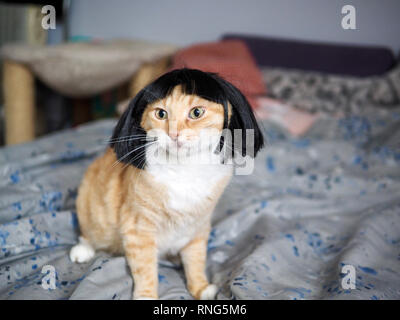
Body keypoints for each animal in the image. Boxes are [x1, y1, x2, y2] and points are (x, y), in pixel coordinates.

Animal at [69, 68, 262, 300]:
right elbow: (145, 270)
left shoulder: (198, 228)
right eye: (161, 114)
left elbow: (196, 260)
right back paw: (83, 250)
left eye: (196, 112)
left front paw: (200, 287)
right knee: (88, 233)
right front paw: (146, 296)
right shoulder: (139, 230)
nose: (174, 134)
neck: (185, 170)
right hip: (91, 211)